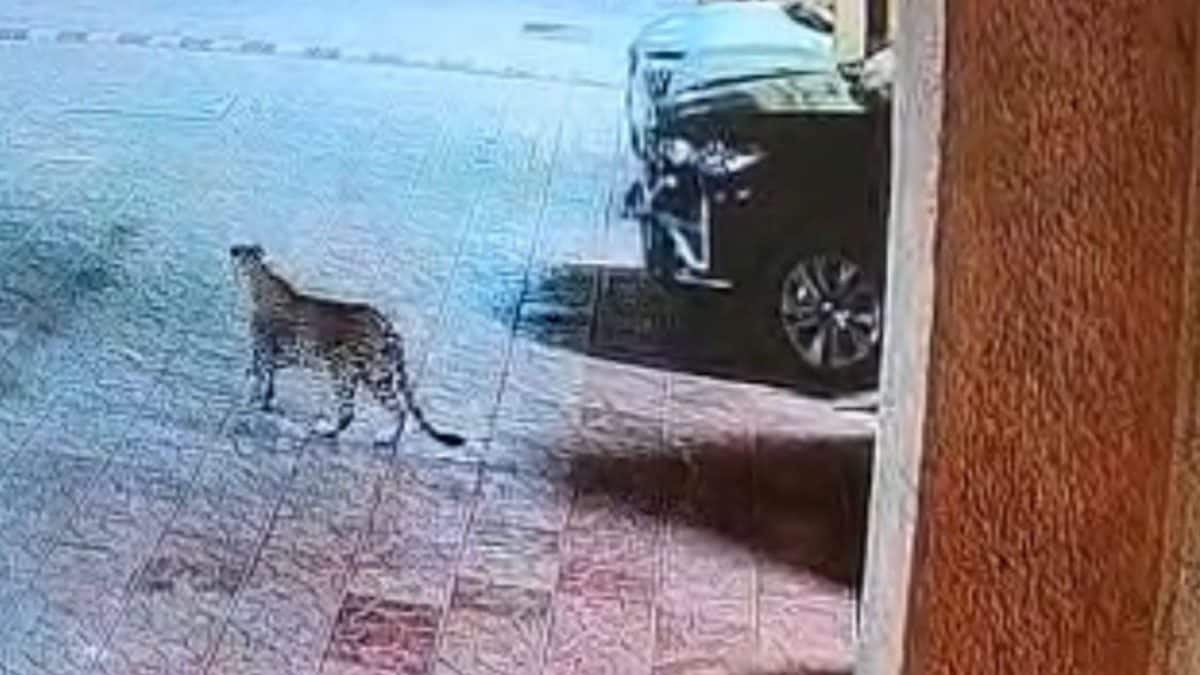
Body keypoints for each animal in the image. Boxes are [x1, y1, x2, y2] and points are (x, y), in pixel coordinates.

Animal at [228, 244, 464, 448]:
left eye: (240, 252)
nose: (232, 250)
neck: (258, 279)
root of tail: (385, 324)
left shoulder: (266, 349)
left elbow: (261, 373)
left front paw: (254, 398)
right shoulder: (286, 352)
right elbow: (269, 374)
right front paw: (265, 397)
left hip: (344, 374)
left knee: (350, 413)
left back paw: (327, 432)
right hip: (377, 376)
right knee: (400, 409)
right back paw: (388, 441)